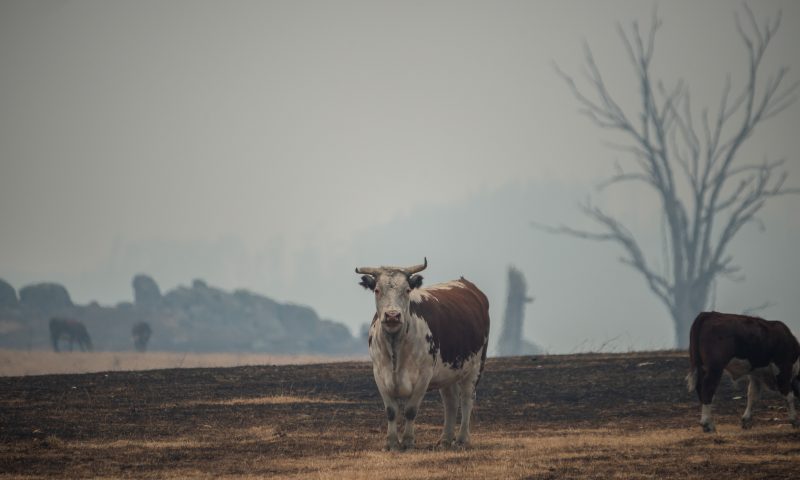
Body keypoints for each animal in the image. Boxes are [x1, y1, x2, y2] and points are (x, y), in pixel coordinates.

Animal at [354, 258, 490, 450]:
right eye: (377, 290)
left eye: (407, 290)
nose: (392, 315)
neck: (396, 348)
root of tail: (467, 285)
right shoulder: (379, 374)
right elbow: (391, 411)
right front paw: (391, 442)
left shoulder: (424, 376)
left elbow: (411, 410)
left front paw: (408, 441)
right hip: (448, 372)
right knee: (451, 401)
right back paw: (445, 440)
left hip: (475, 367)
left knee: (466, 400)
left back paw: (462, 440)